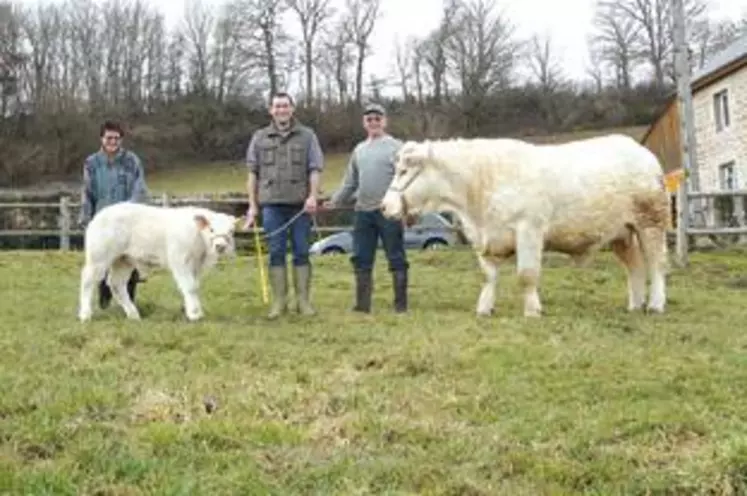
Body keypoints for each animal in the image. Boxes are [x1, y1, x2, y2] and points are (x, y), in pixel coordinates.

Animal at [78, 202, 240, 322]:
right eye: (212, 229)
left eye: (231, 231)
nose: (220, 246)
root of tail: (100, 214)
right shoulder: (180, 261)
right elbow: (190, 287)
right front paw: (194, 314)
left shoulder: (196, 266)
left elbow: (194, 287)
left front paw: (194, 311)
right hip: (98, 256)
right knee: (88, 280)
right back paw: (85, 315)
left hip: (123, 259)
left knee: (116, 283)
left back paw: (133, 315)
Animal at [380, 134, 672, 316]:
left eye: (404, 171)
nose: (384, 206)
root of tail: (640, 151)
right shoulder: (485, 238)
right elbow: (488, 275)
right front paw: (484, 308)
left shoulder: (529, 229)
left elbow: (527, 274)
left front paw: (532, 310)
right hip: (621, 233)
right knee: (634, 267)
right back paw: (635, 305)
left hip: (651, 223)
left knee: (656, 264)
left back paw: (656, 305)